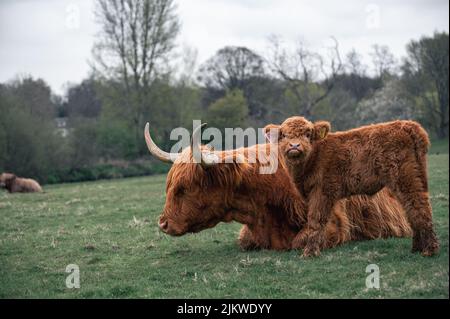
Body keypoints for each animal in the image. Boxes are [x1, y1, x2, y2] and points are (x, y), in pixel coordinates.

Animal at [264, 117, 440, 258]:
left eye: (307, 134)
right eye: (284, 135)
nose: (294, 146)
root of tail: (406, 124)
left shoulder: (321, 192)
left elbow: (316, 220)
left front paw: (310, 252)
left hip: (406, 179)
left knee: (420, 208)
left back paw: (429, 250)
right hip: (412, 179)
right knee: (411, 210)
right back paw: (417, 248)